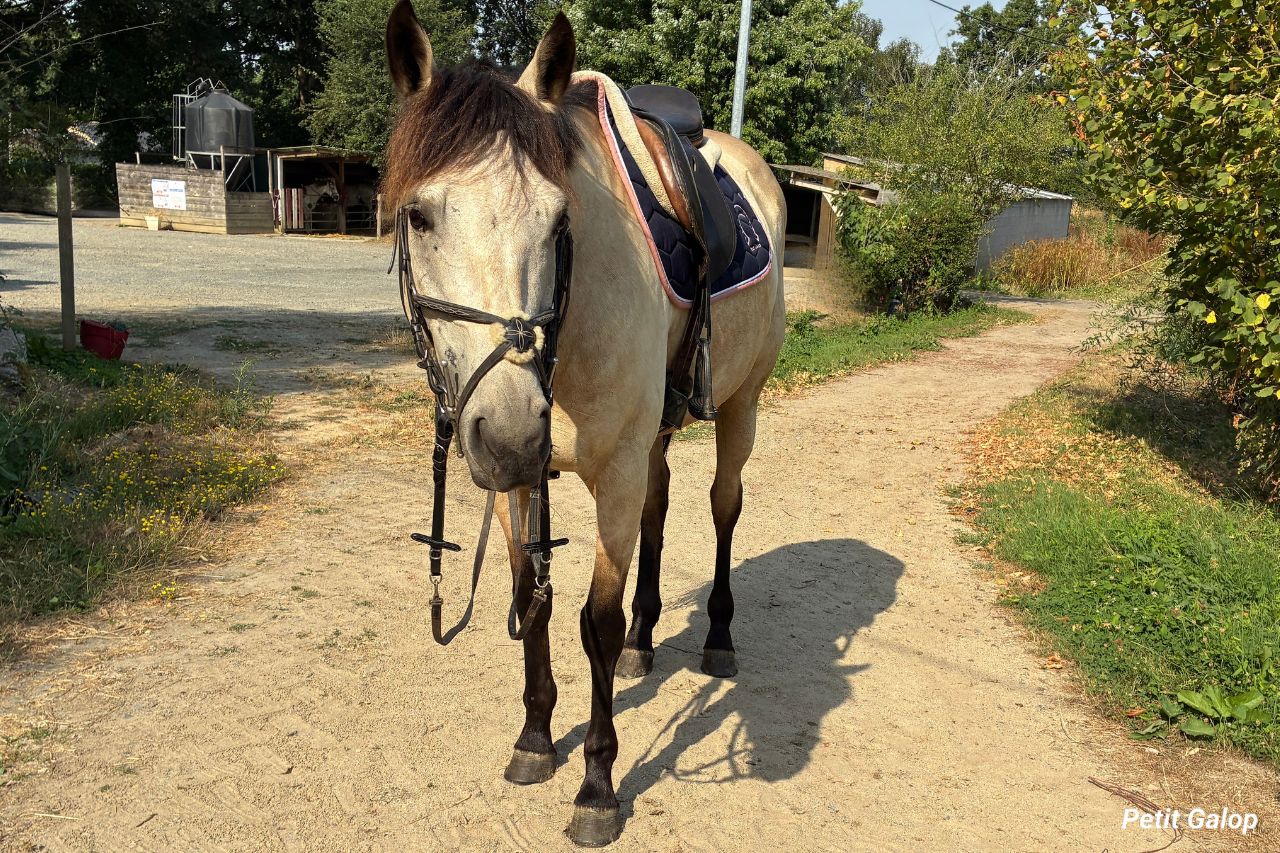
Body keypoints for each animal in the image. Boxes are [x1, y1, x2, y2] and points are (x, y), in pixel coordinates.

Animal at [382, 2, 786, 845]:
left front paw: (597, 784)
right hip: (654, 439)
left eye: (558, 217)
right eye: (419, 214)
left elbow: (592, 619)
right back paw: (644, 642)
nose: (509, 431)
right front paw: (536, 737)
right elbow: (530, 599)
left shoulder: (614, 471)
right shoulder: (525, 479)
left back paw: (718, 637)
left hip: (741, 410)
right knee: (660, 515)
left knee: (723, 509)